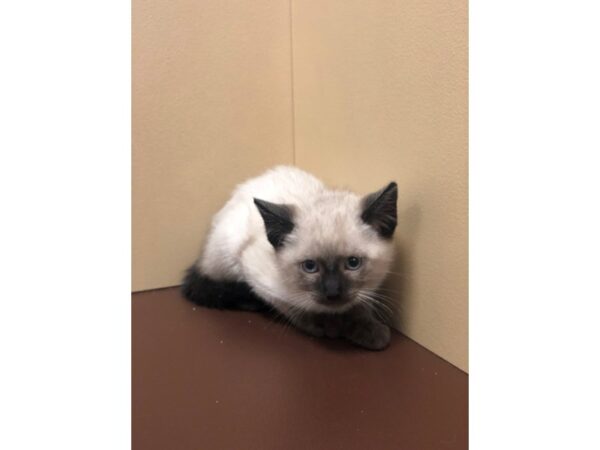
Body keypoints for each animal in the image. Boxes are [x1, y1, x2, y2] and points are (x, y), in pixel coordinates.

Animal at [183, 166, 398, 352]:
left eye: (353, 263)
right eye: (310, 266)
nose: (332, 292)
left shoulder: (366, 289)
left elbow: (360, 306)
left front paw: (368, 330)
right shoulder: (259, 279)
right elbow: (295, 307)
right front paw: (326, 325)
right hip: (228, 253)